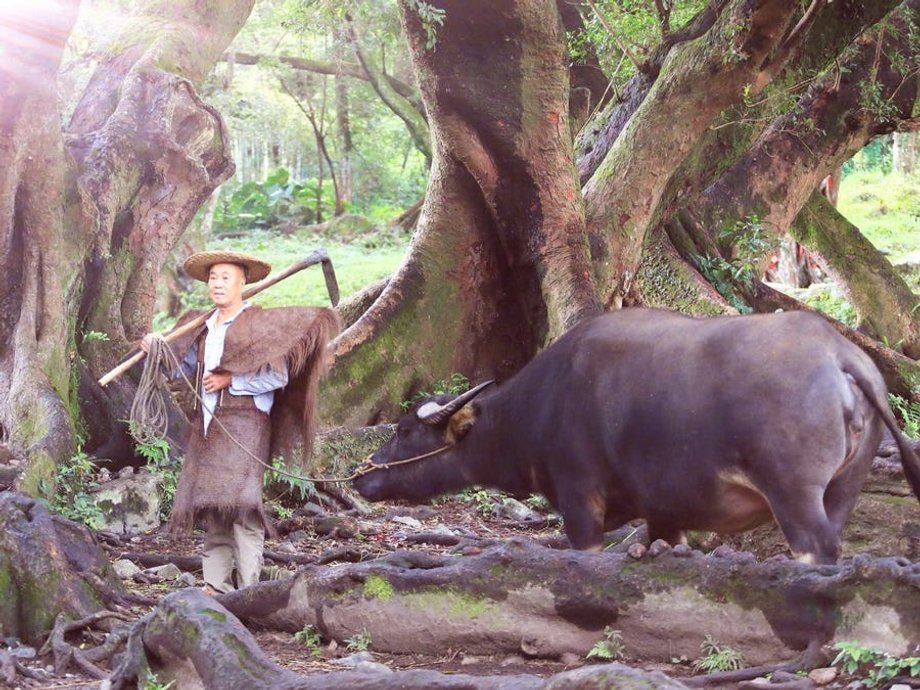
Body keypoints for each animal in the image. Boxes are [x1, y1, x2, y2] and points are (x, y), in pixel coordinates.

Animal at [352, 310, 920, 560]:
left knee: (815, 548)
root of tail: (841, 355)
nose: (361, 477)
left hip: (794, 494)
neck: (540, 406)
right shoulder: (666, 513)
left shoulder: (580, 501)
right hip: (842, 489)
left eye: (405, 429)